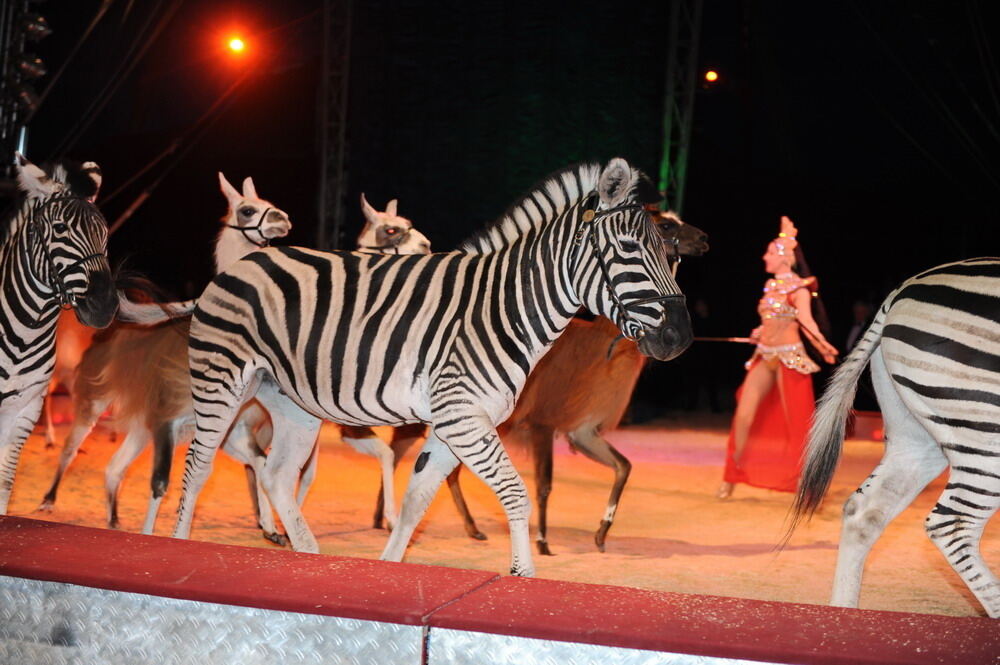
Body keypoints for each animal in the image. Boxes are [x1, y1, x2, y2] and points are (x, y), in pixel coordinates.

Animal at [0, 156, 118, 512]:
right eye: (60, 229)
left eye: (104, 233)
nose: (104, 306)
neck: (23, 334)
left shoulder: (25, 410)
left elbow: (5, 484)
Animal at [174, 158, 688, 572]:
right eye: (628, 249)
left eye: (669, 253)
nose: (680, 337)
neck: (501, 308)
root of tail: (244, 262)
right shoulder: (462, 416)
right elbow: (515, 494)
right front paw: (522, 577)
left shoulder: (454, 423)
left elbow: (415, 503)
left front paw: (390, 568)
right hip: (221, 380)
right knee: (198, 466)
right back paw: (178, 545)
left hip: (290, 401)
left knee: (277, 476)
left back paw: (308, 554)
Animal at [792, 258, 1000, 616]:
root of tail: (901, 289)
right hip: (984, 431)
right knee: (954, 525)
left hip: (917, 438)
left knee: (865, 512)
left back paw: (843, 616)